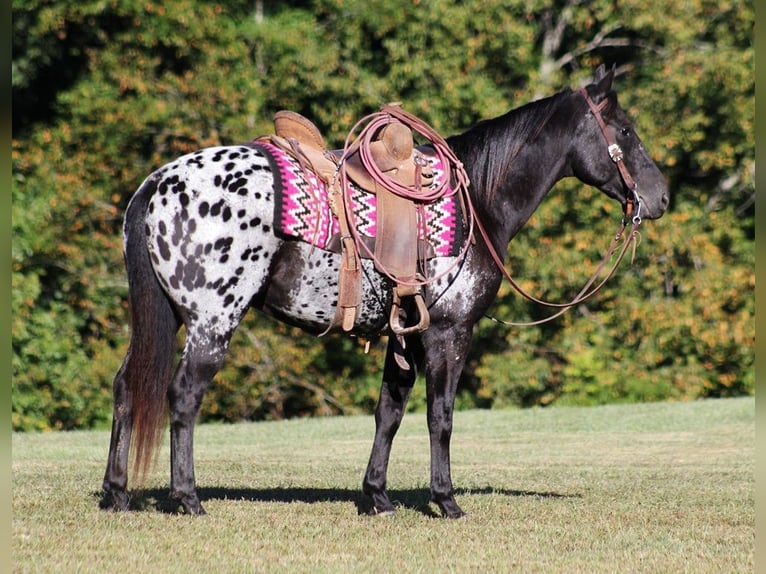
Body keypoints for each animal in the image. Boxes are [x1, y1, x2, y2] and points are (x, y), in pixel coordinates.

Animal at [100, 65, 664, 520]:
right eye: (626, 131)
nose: (659, 197)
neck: (477, 202)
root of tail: (157, 182)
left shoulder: (405, 336)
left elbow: (388, 413)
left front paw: (377, 497)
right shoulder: (449, 333)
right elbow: (441, 417)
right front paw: (446, 500)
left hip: (170, 317)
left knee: (127, 388)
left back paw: (117, 494)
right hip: (213, 322)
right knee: (183, 396)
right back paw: (188, 498)